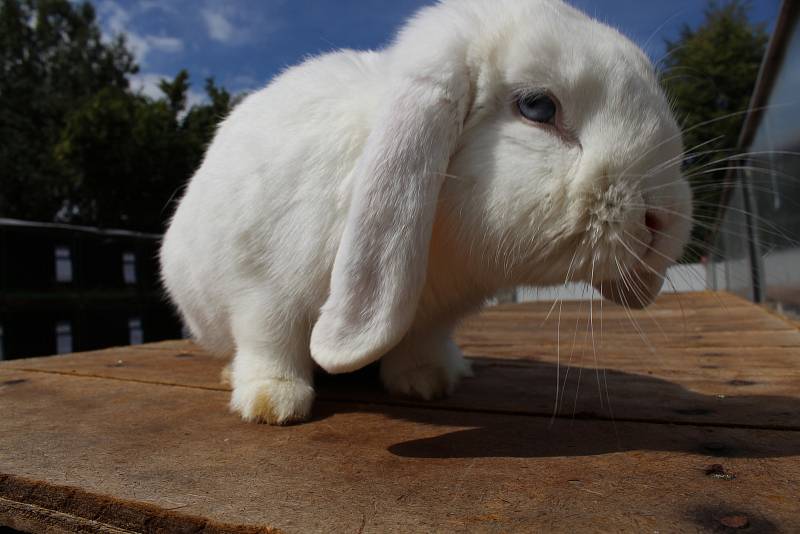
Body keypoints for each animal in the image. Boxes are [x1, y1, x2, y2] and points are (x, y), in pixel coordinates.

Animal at [159, 0, 692, 428]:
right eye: (538, 107)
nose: (661, 220)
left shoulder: (434, 315)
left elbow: (418, 343)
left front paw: (427, 382)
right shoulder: (261, 291)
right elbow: (272, 343)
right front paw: (274, 403)